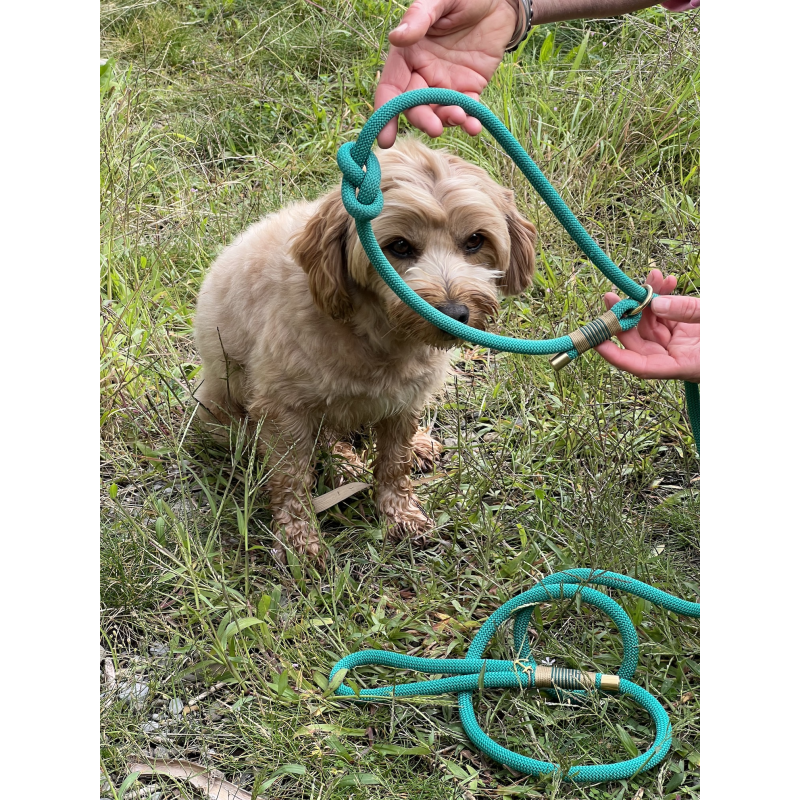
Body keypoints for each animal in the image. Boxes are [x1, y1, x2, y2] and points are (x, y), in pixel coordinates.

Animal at [192, 139, 536, 564]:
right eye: (399, 246)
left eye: (475, 240)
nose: (456, 314)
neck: (377, 334)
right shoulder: (281, 409)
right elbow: (291, 479)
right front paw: (297, 539)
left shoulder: (405, 399)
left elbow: (393, 463)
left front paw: (400, 515)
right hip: (221, 410)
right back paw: (344, 465)